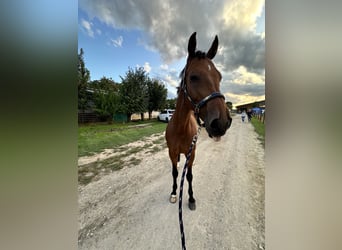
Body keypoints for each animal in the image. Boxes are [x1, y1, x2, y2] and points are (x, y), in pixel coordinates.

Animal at [166, 31, 232, 211]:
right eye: (194, 77)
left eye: (219, 77)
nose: (222, 122)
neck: (180, 128)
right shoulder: (171, 152)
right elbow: (175, 173)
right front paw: (174, 193)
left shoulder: (192, 153)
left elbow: (189, 176)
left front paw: (191, 198)